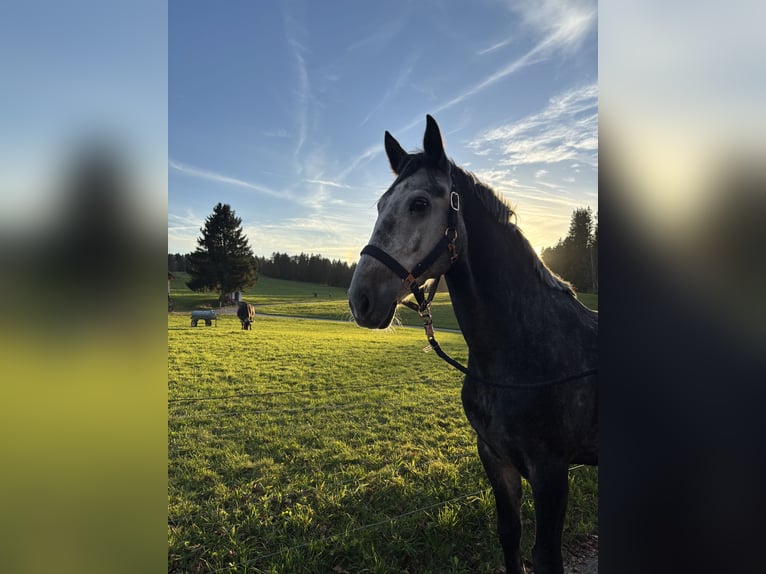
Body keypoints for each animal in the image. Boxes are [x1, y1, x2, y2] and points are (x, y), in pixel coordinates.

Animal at [350, 115, 600, 572]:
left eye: (418, 204)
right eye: (379, 206)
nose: (361, 300)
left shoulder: (551, 472)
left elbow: (545, 555)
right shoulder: (495, 459)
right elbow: (509, 536)